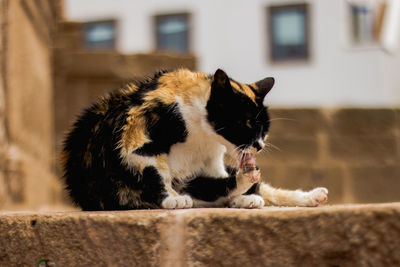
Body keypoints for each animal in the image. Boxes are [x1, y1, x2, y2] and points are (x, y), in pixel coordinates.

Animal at [61, 69, 326, 211]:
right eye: (248, 124)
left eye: (265, 129)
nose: (259, 146)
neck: (201, 135)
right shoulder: (136, 136)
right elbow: (156, 171)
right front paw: (171, 199)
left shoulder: (212, 163)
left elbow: (219, 185)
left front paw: (242, 193)